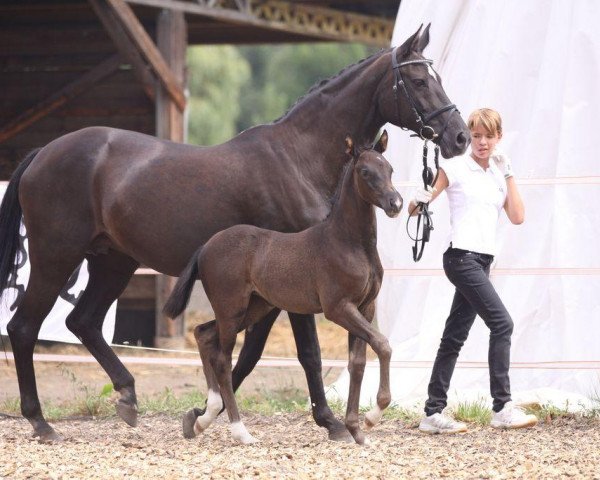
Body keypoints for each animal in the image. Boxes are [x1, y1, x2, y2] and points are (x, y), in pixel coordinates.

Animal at [162, 132, 400, 446]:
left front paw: (357, 430)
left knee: (204, 334)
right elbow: (382, 344)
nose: (396, 203)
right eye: (365, 172)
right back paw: (241, 432)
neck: (348, 243)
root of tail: (206, 246)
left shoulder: (365, 307)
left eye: (390, 169)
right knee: (222, 359)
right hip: (231, 308)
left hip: (255, 307)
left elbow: (357, 363)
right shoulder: (338, 308)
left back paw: (204, 417)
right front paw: (373, 415)